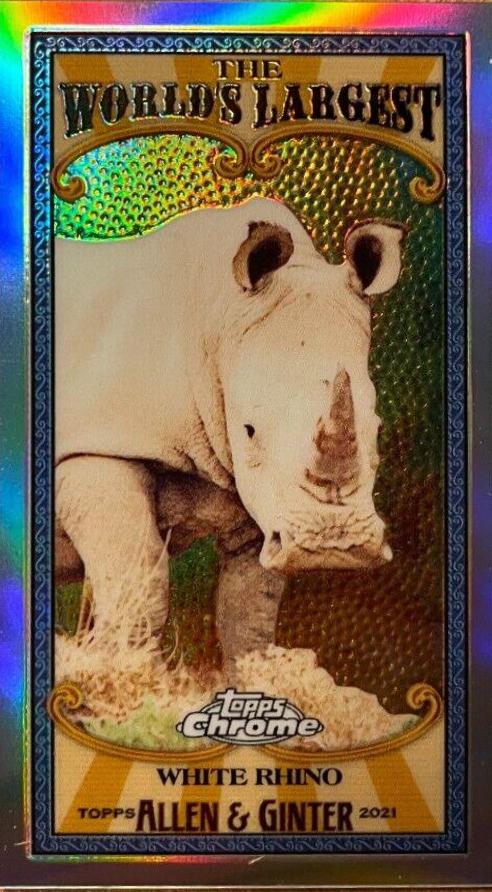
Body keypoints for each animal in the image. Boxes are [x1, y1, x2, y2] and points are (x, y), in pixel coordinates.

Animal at [55, 197, 405, 667]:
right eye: (249, 430)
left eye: (379, 430)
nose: (331, 545)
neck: (217, 321)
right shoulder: (96, 449)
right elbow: (141, 583)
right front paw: (123, 671)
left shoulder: (265, 498)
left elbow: (249, 609)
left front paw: (254, 675)